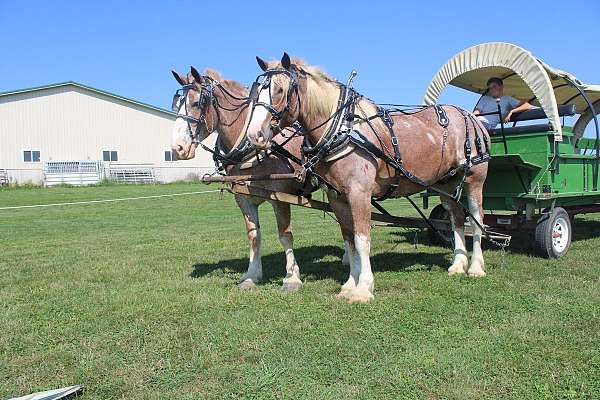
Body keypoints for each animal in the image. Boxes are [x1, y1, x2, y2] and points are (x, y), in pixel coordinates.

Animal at [171, 65, 350, 290]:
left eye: (197, 103)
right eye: (175, 104)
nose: (177, 148)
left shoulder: (280, 197)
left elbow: (285, 235)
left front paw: (292, 278)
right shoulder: (243, 198)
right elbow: (253, 235)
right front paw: (251, 275)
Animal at [246, 54, 490, 304]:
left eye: (280, 90)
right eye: (257, 90)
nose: (254, 134)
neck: (342, 130)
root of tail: (471, 118)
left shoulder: (359, 193)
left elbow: (362, 239)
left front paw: (363, 287)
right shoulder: (337, 197)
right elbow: (349, 237)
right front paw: (349, 285)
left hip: (475, 180)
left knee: (477, 220)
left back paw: (476, 267)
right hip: (447, 184)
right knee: (457, 220)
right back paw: (458, 265)